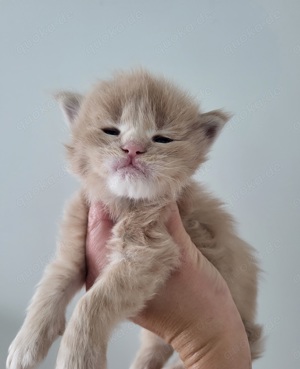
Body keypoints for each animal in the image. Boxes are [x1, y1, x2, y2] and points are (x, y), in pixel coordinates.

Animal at [6, 69, 262, 368]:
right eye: (111, 131)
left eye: (162, 139)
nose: (132, 148)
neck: (123, 202)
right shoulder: (74, 243)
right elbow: (52, 282)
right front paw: (26, 343)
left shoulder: (148, 254)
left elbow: (92, 303)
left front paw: (77, 357)